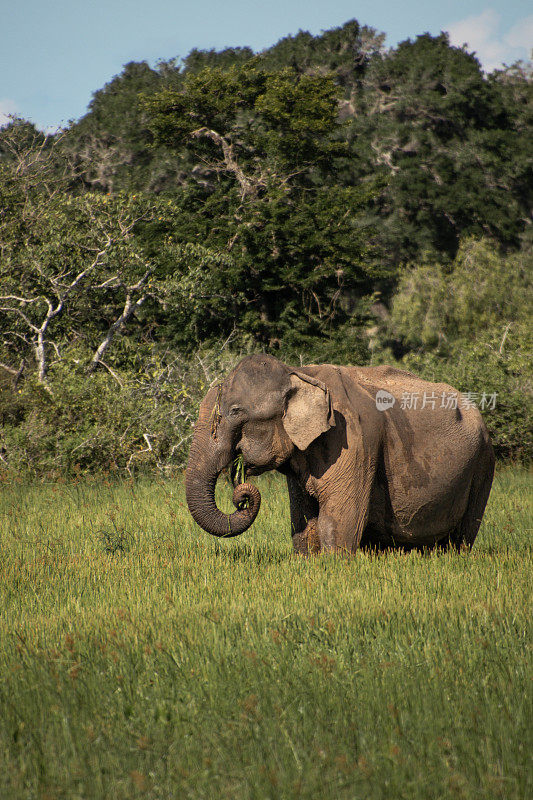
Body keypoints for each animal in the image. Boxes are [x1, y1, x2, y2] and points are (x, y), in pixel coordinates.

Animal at [186, 354, 494, 552]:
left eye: (236, 412)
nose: (242, 496)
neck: (298, 372)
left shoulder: (353, 441)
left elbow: (336, 520)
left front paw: (335, 565)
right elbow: (304, 520)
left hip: (482, 463)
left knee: (462, 536)